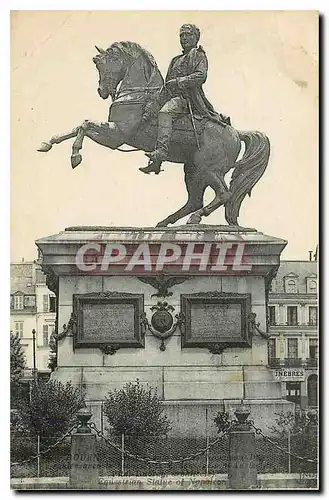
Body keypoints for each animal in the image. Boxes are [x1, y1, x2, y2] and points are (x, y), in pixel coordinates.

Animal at [38, 41, 270, 227]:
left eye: (105, 63)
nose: (102, 91)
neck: (137, 94)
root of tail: (236, 133)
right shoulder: (113, 133)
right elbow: (78, 127)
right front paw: (48, 143)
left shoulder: (116, 136)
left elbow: (84, 126)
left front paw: (75, 155)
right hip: (193, 170)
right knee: (195, 200)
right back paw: (165, 222)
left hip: (209, 169)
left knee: (224, 194)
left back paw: (194, 219)